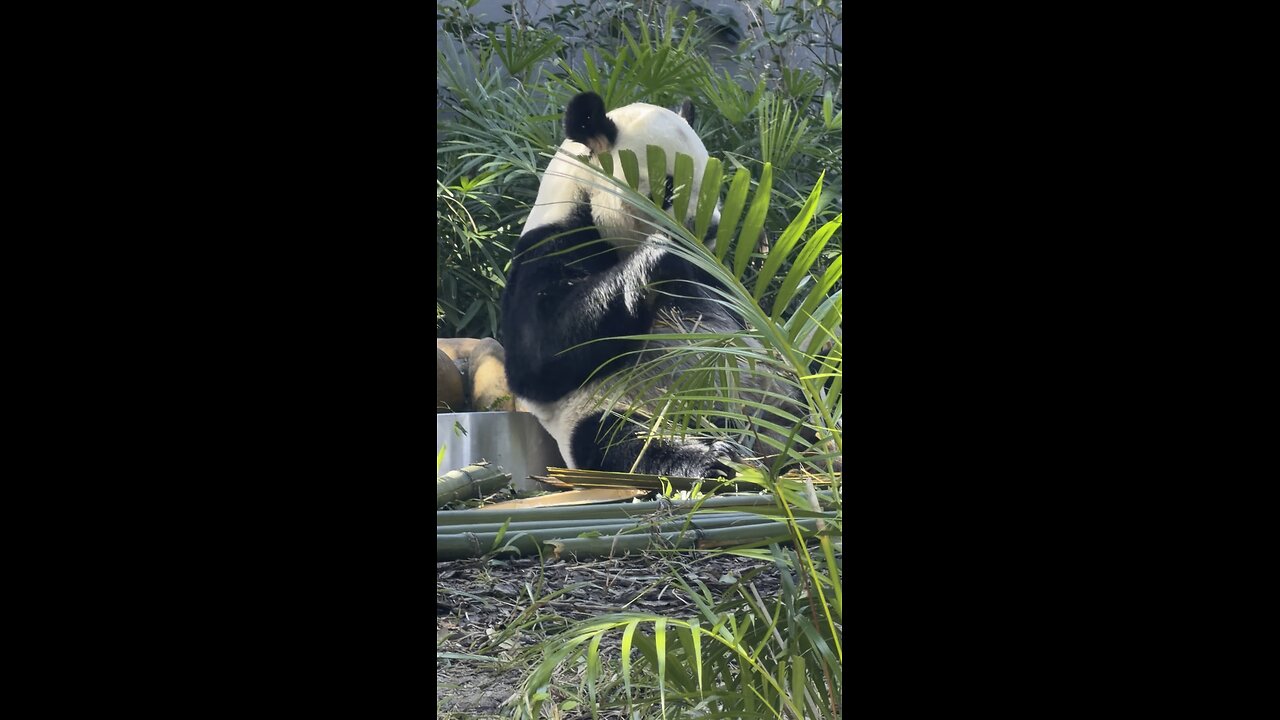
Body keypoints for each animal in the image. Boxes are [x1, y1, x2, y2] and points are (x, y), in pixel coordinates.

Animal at [500, 92, 803, 480]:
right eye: (669, 188)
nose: (710, 229)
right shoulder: (549, 245)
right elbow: (539, 354)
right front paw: (658, 255)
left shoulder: (708, 274)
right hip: (623, 405)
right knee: (619, 438)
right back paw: (711, 457)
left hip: (776, 398)